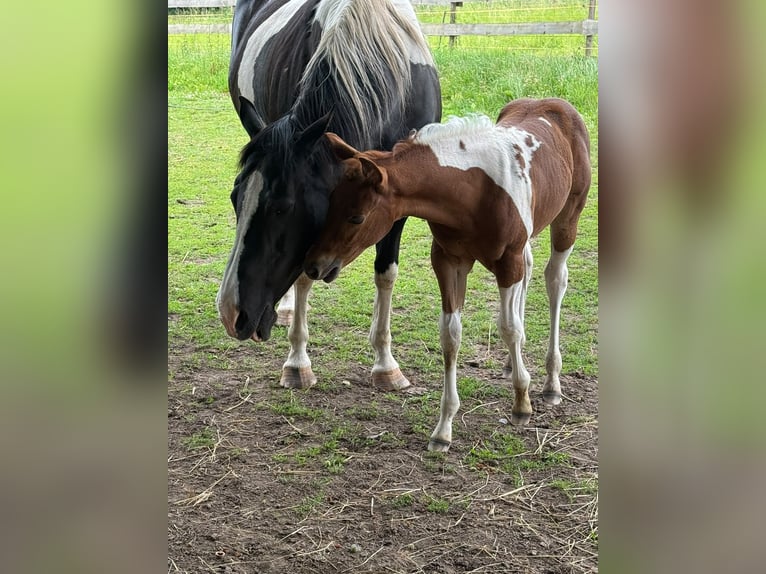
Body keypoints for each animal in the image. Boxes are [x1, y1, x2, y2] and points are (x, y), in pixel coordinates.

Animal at [216, 0, 442, 390]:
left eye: (282, 208)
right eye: (234, 200)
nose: (232, 313)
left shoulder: (399, 198)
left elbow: (386, 273)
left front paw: (386, 364)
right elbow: (305, 275)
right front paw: (297, 362)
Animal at [304, 98, 591, 451]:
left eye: (356, 217)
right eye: (331, 203)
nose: (314, 265)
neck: (473, 192)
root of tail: (553, 103)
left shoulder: (507, 262)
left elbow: (508, 327)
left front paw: (521, 403)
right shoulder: (448, 261)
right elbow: (451, 335)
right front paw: (443, 429)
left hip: (568, 218)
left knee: (555, 280)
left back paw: (551, 383)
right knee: (530, 269)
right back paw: (513, 364)